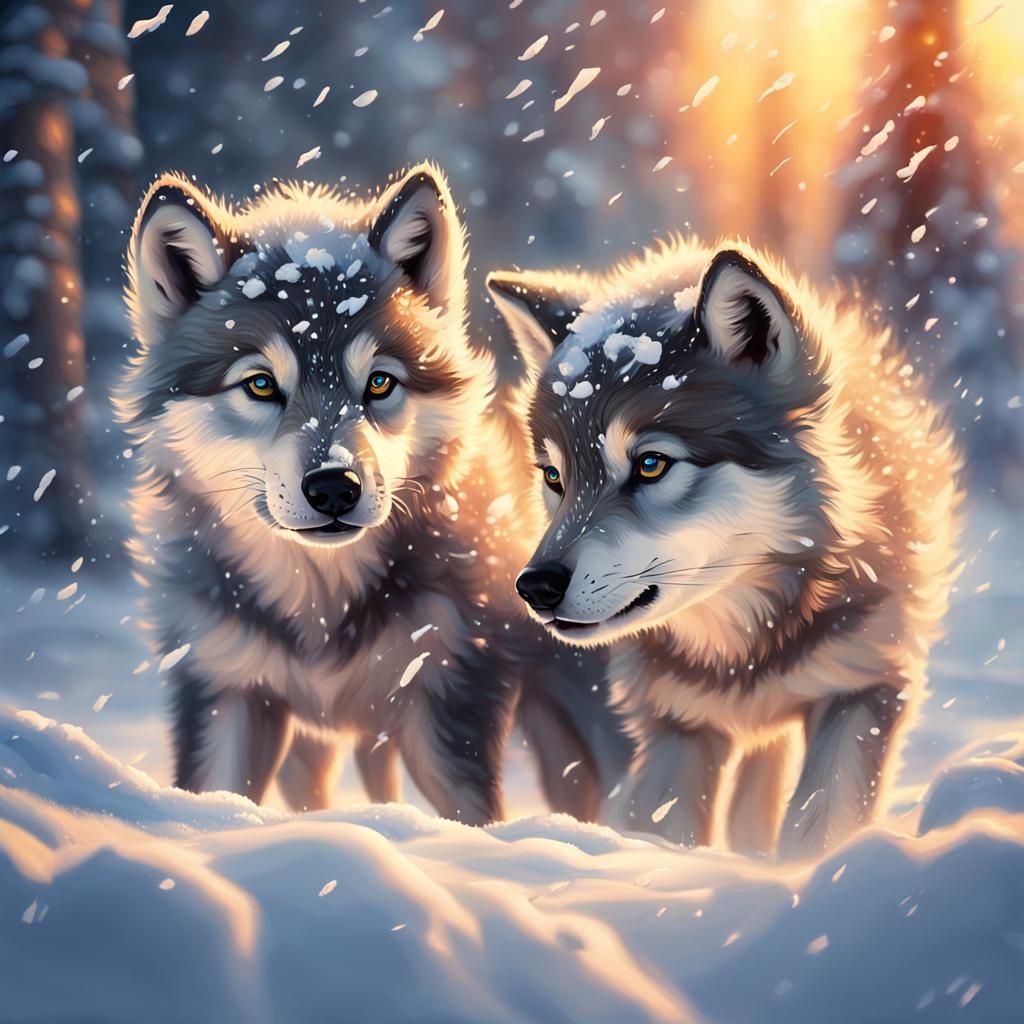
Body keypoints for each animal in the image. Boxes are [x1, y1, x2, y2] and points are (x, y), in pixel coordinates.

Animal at [116, 164, 631, 823]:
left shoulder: (452, 694)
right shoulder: (222, 688)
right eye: (260, 385)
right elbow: (215, 796)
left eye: (380, 383)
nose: (334, 487)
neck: (319, 604)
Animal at [488, 240, 961, 859]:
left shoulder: (864, 687)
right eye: (553, 477)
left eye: (651, 464)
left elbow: (819, 826)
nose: (535, 586)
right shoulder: (676, 721)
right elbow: (671, 830)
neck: (746, 649)